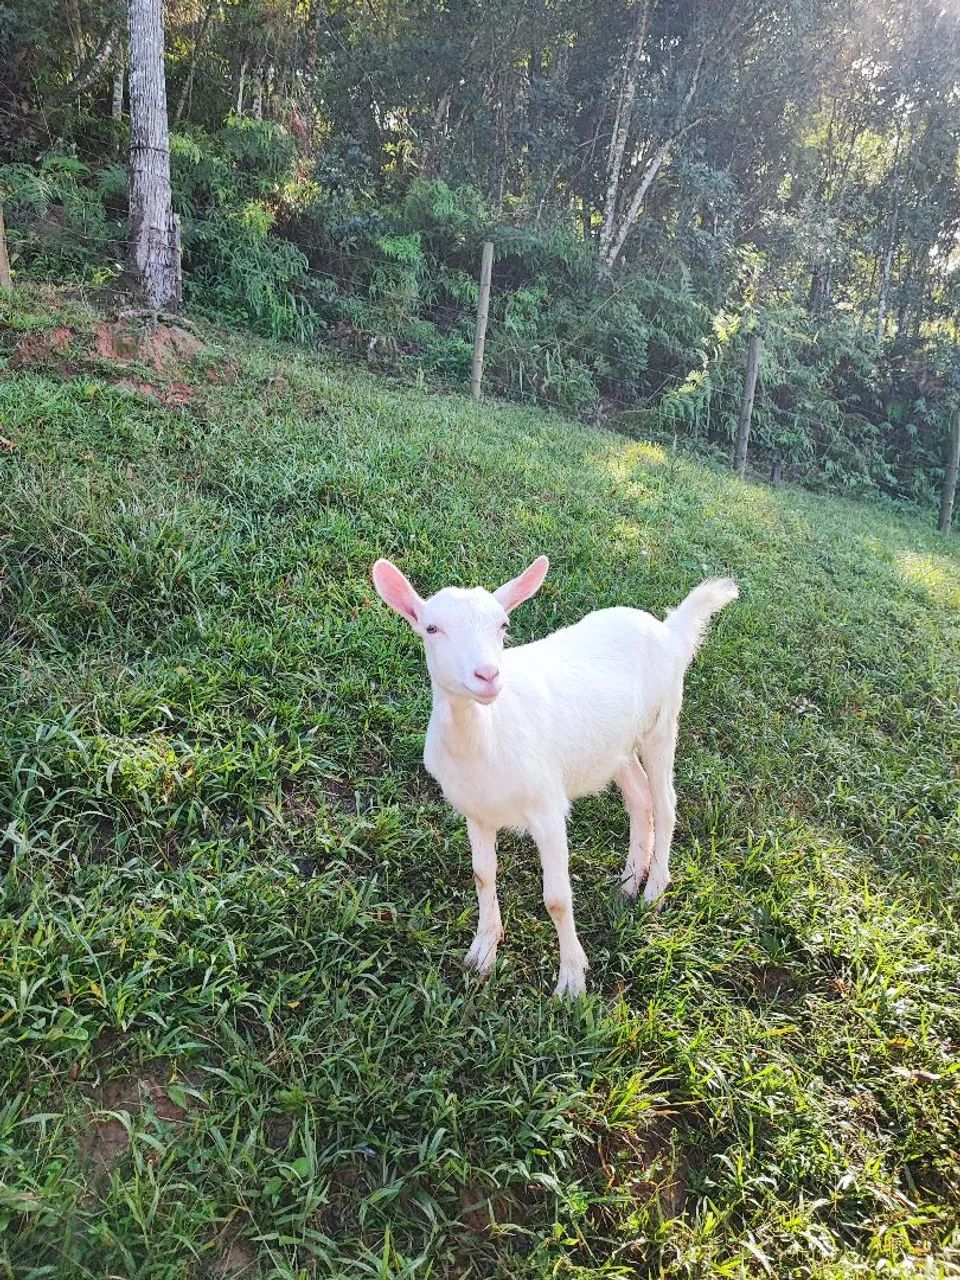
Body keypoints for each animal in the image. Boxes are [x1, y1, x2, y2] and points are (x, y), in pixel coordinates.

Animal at [371, 555, 738, 996]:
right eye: (431, 628)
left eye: (503, 625)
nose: (487, 675)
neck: (486, 738)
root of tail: (669, 631)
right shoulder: (475, 811)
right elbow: (482, 875)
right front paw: (481, 954)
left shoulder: (547, 808)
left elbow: (557, 899)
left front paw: (572, 981)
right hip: (613, 747)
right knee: (639, 797)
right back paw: (629, 882)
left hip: (662, 721)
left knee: (666, 803)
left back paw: (653, 892)